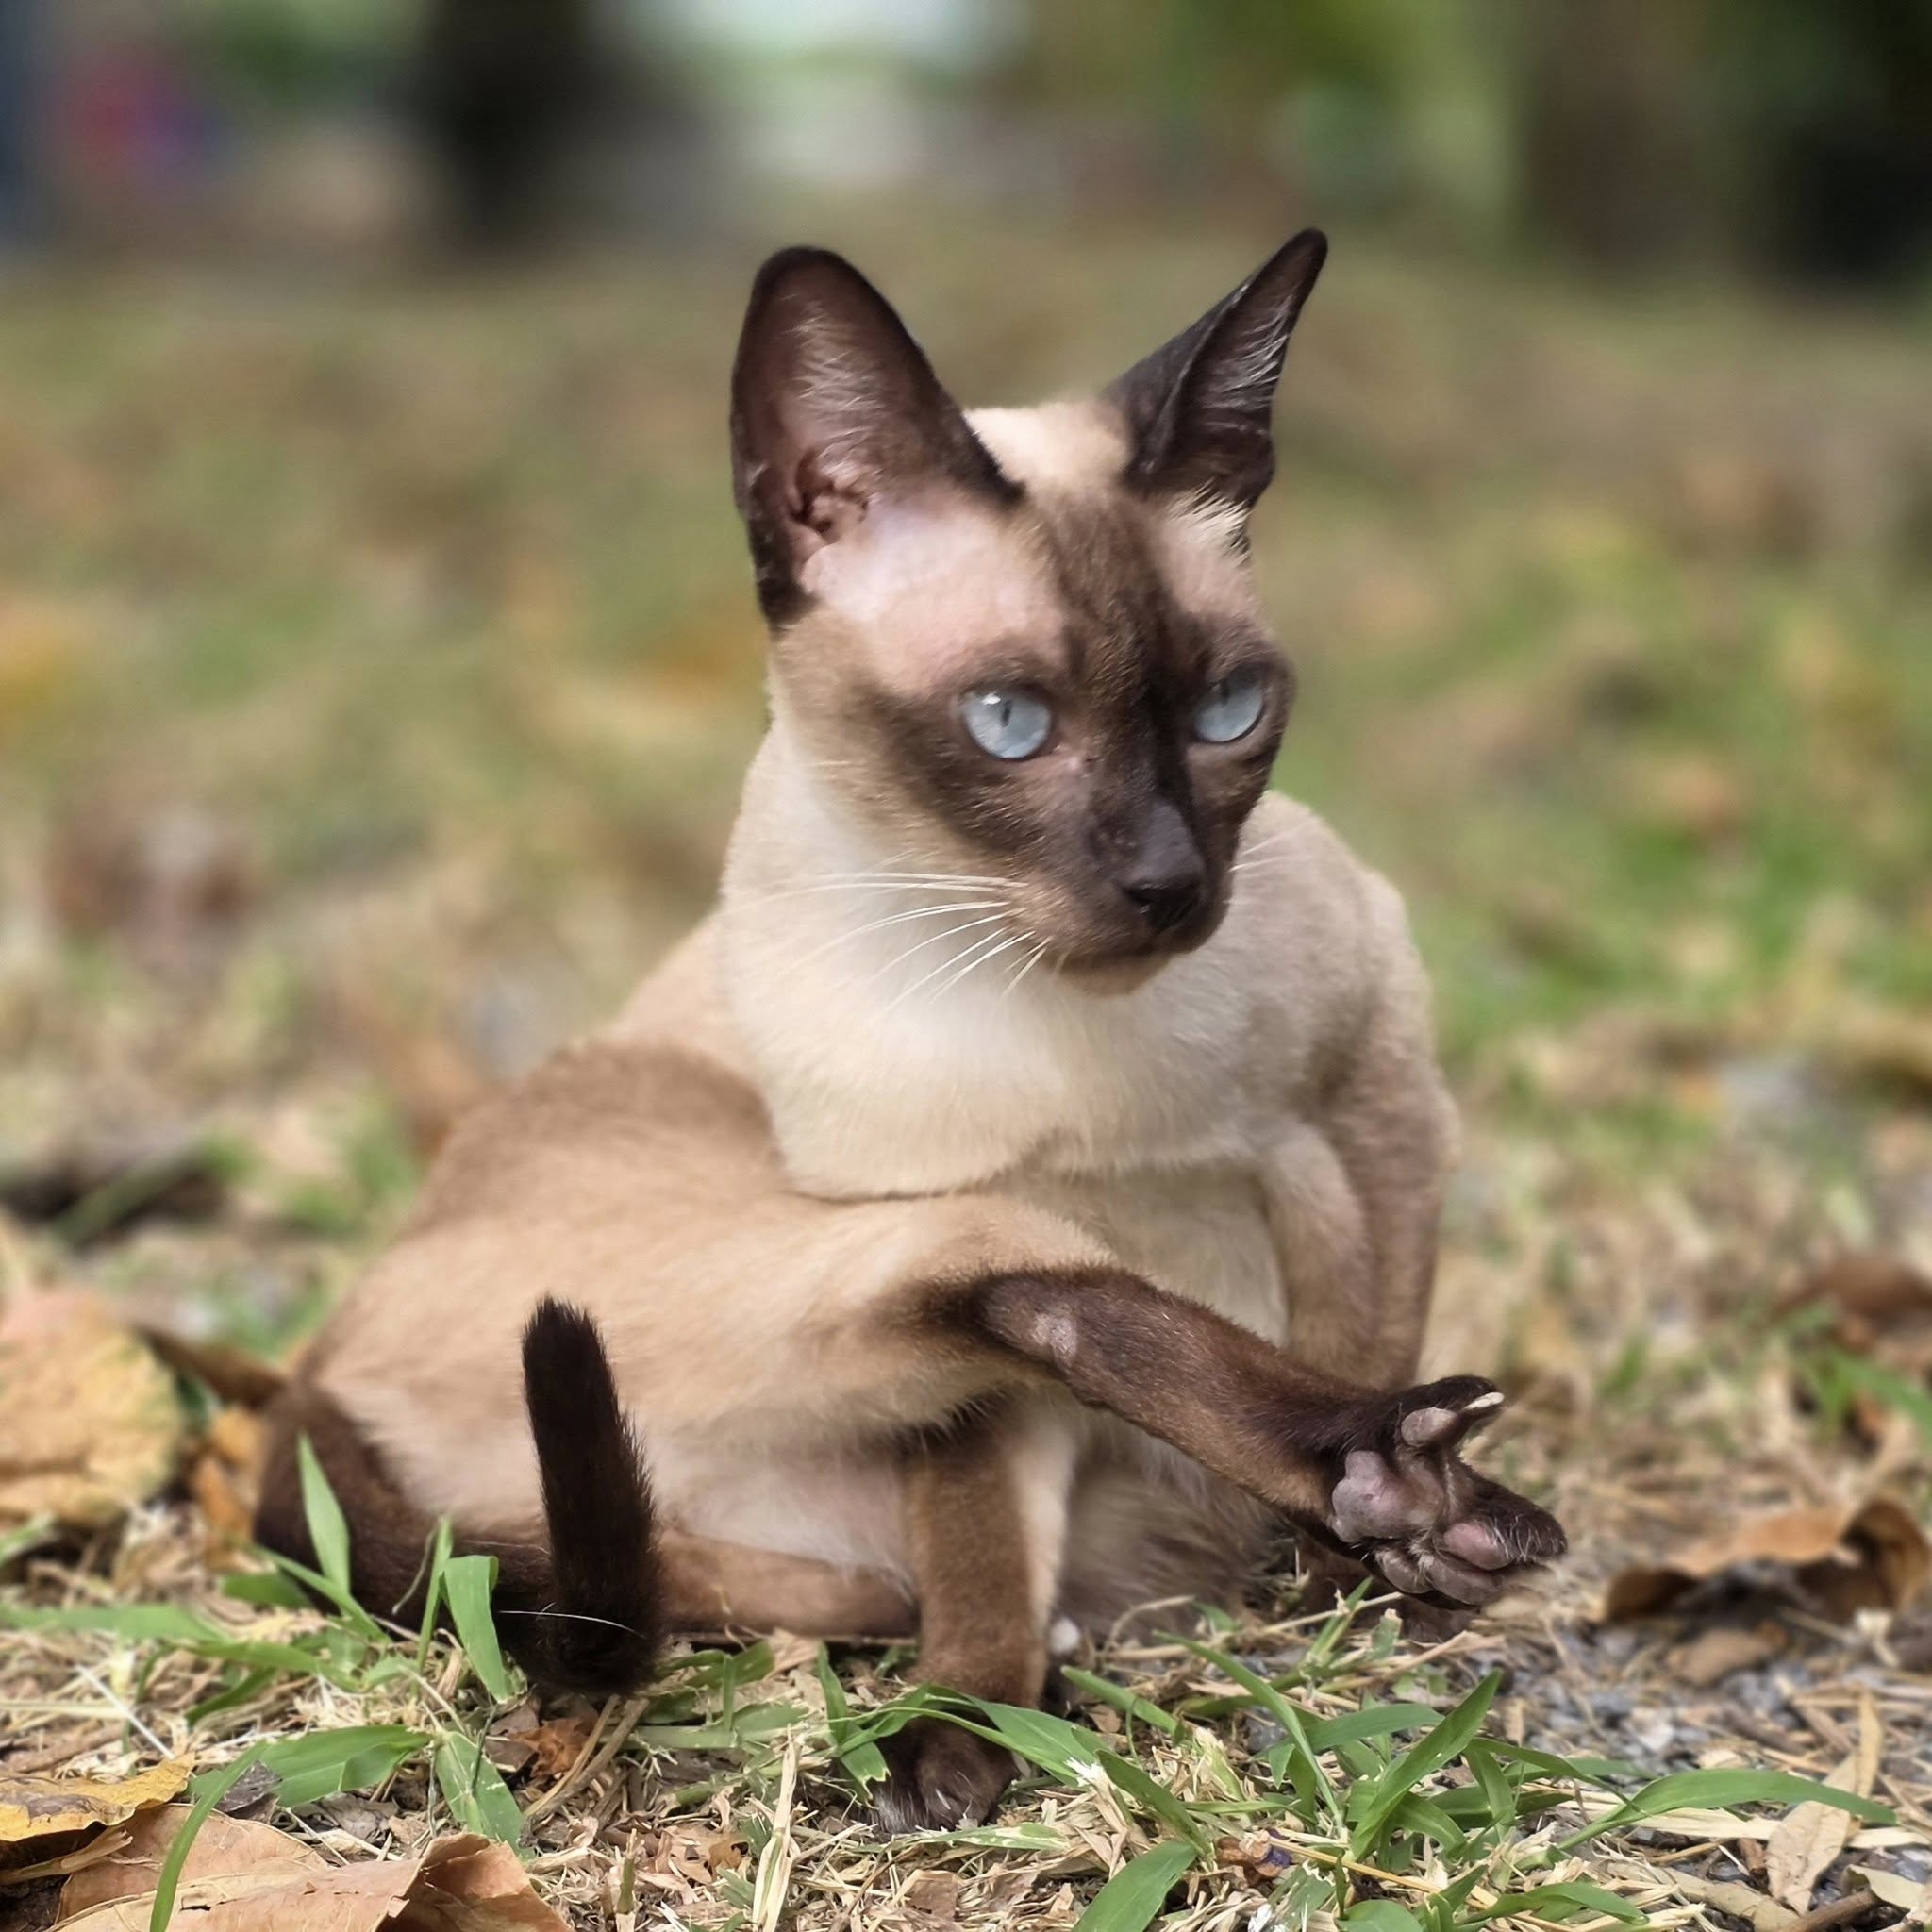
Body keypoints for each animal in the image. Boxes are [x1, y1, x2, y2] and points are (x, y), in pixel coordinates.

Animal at [258, 232, 1564, 1828]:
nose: (1168, 886)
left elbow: (1367, 1319)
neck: (1089, 1059)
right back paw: (1348, 1495)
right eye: (1009, 723)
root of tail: (310, 1352)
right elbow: (993, 1515)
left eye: (1228, 712)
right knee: (1023, 1312)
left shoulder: (1373, 1131)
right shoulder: (967, 1267)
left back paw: (1396, 1510)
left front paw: (1368, 1581)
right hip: (842, 1254)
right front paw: (969, 1735)